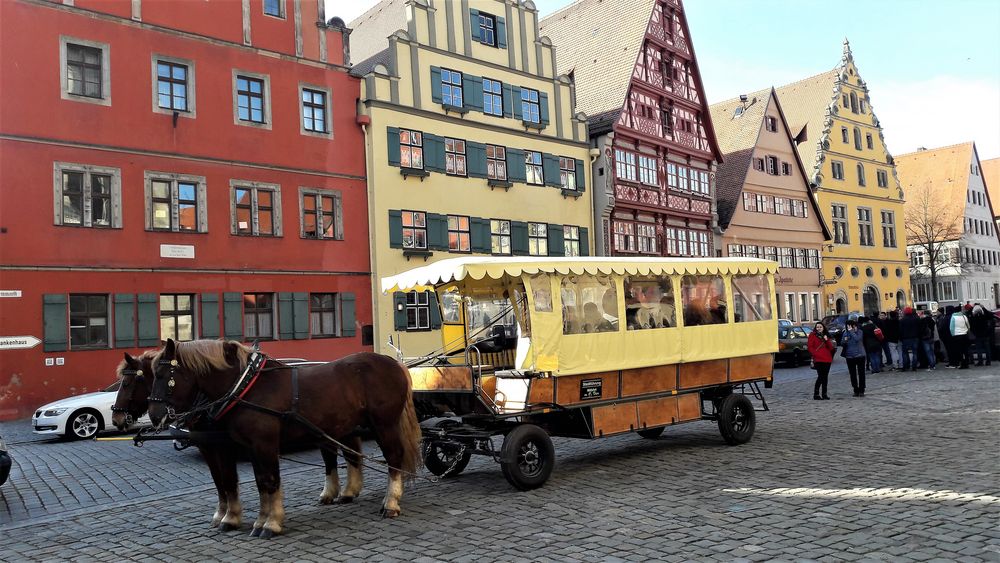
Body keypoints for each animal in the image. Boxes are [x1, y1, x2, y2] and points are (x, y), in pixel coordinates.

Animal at [146, 340, 420, 536]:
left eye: (164, 376)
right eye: (151, 375)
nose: (154, 415)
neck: (247, 387)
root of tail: (393, 363)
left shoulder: (263, 444)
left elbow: (269, 481)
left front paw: (271, 523)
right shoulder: (251, 447)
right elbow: (259, 482)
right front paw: (259, 521)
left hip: (384, 424)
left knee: (393, 456)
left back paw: (391, 503)